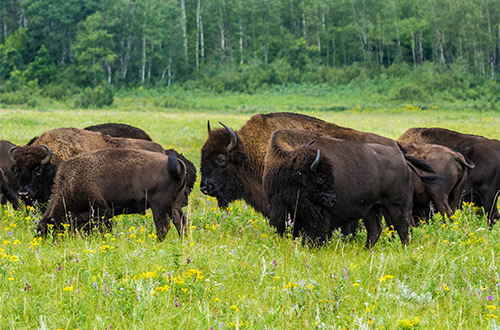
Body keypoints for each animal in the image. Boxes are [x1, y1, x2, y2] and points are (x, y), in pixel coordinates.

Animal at [38, 149, 191, 240]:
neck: (71, 181)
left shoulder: (102, 210)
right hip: (173, 203)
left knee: (163, 226)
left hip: (158, 204)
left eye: (49, 228)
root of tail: (178, 163)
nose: (47, 242)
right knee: (180, 222)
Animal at [264, 129, 420, 248]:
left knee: (404, 229)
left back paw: (404, 249)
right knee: (375, 230)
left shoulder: (319, 214)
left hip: (397, 207)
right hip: (371, 209)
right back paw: (366, 250)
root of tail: (402, 158)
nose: (333, 200)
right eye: (320, 179)